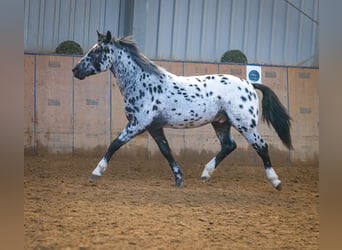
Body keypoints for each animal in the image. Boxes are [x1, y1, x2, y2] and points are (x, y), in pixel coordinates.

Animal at [72, 30, 292, 189]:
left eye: (96, 52)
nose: (75, 70)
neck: (142, 83)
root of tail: (249, 84)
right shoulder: (154, 127)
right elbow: (166, 151)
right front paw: (179, 179)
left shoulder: (138, 124)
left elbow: (114, 144)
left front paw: (96, 172)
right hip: (221, 122)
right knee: (229, 146)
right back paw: (205, 174)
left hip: (245, 124)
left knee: (261, 146)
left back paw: (276, 182)